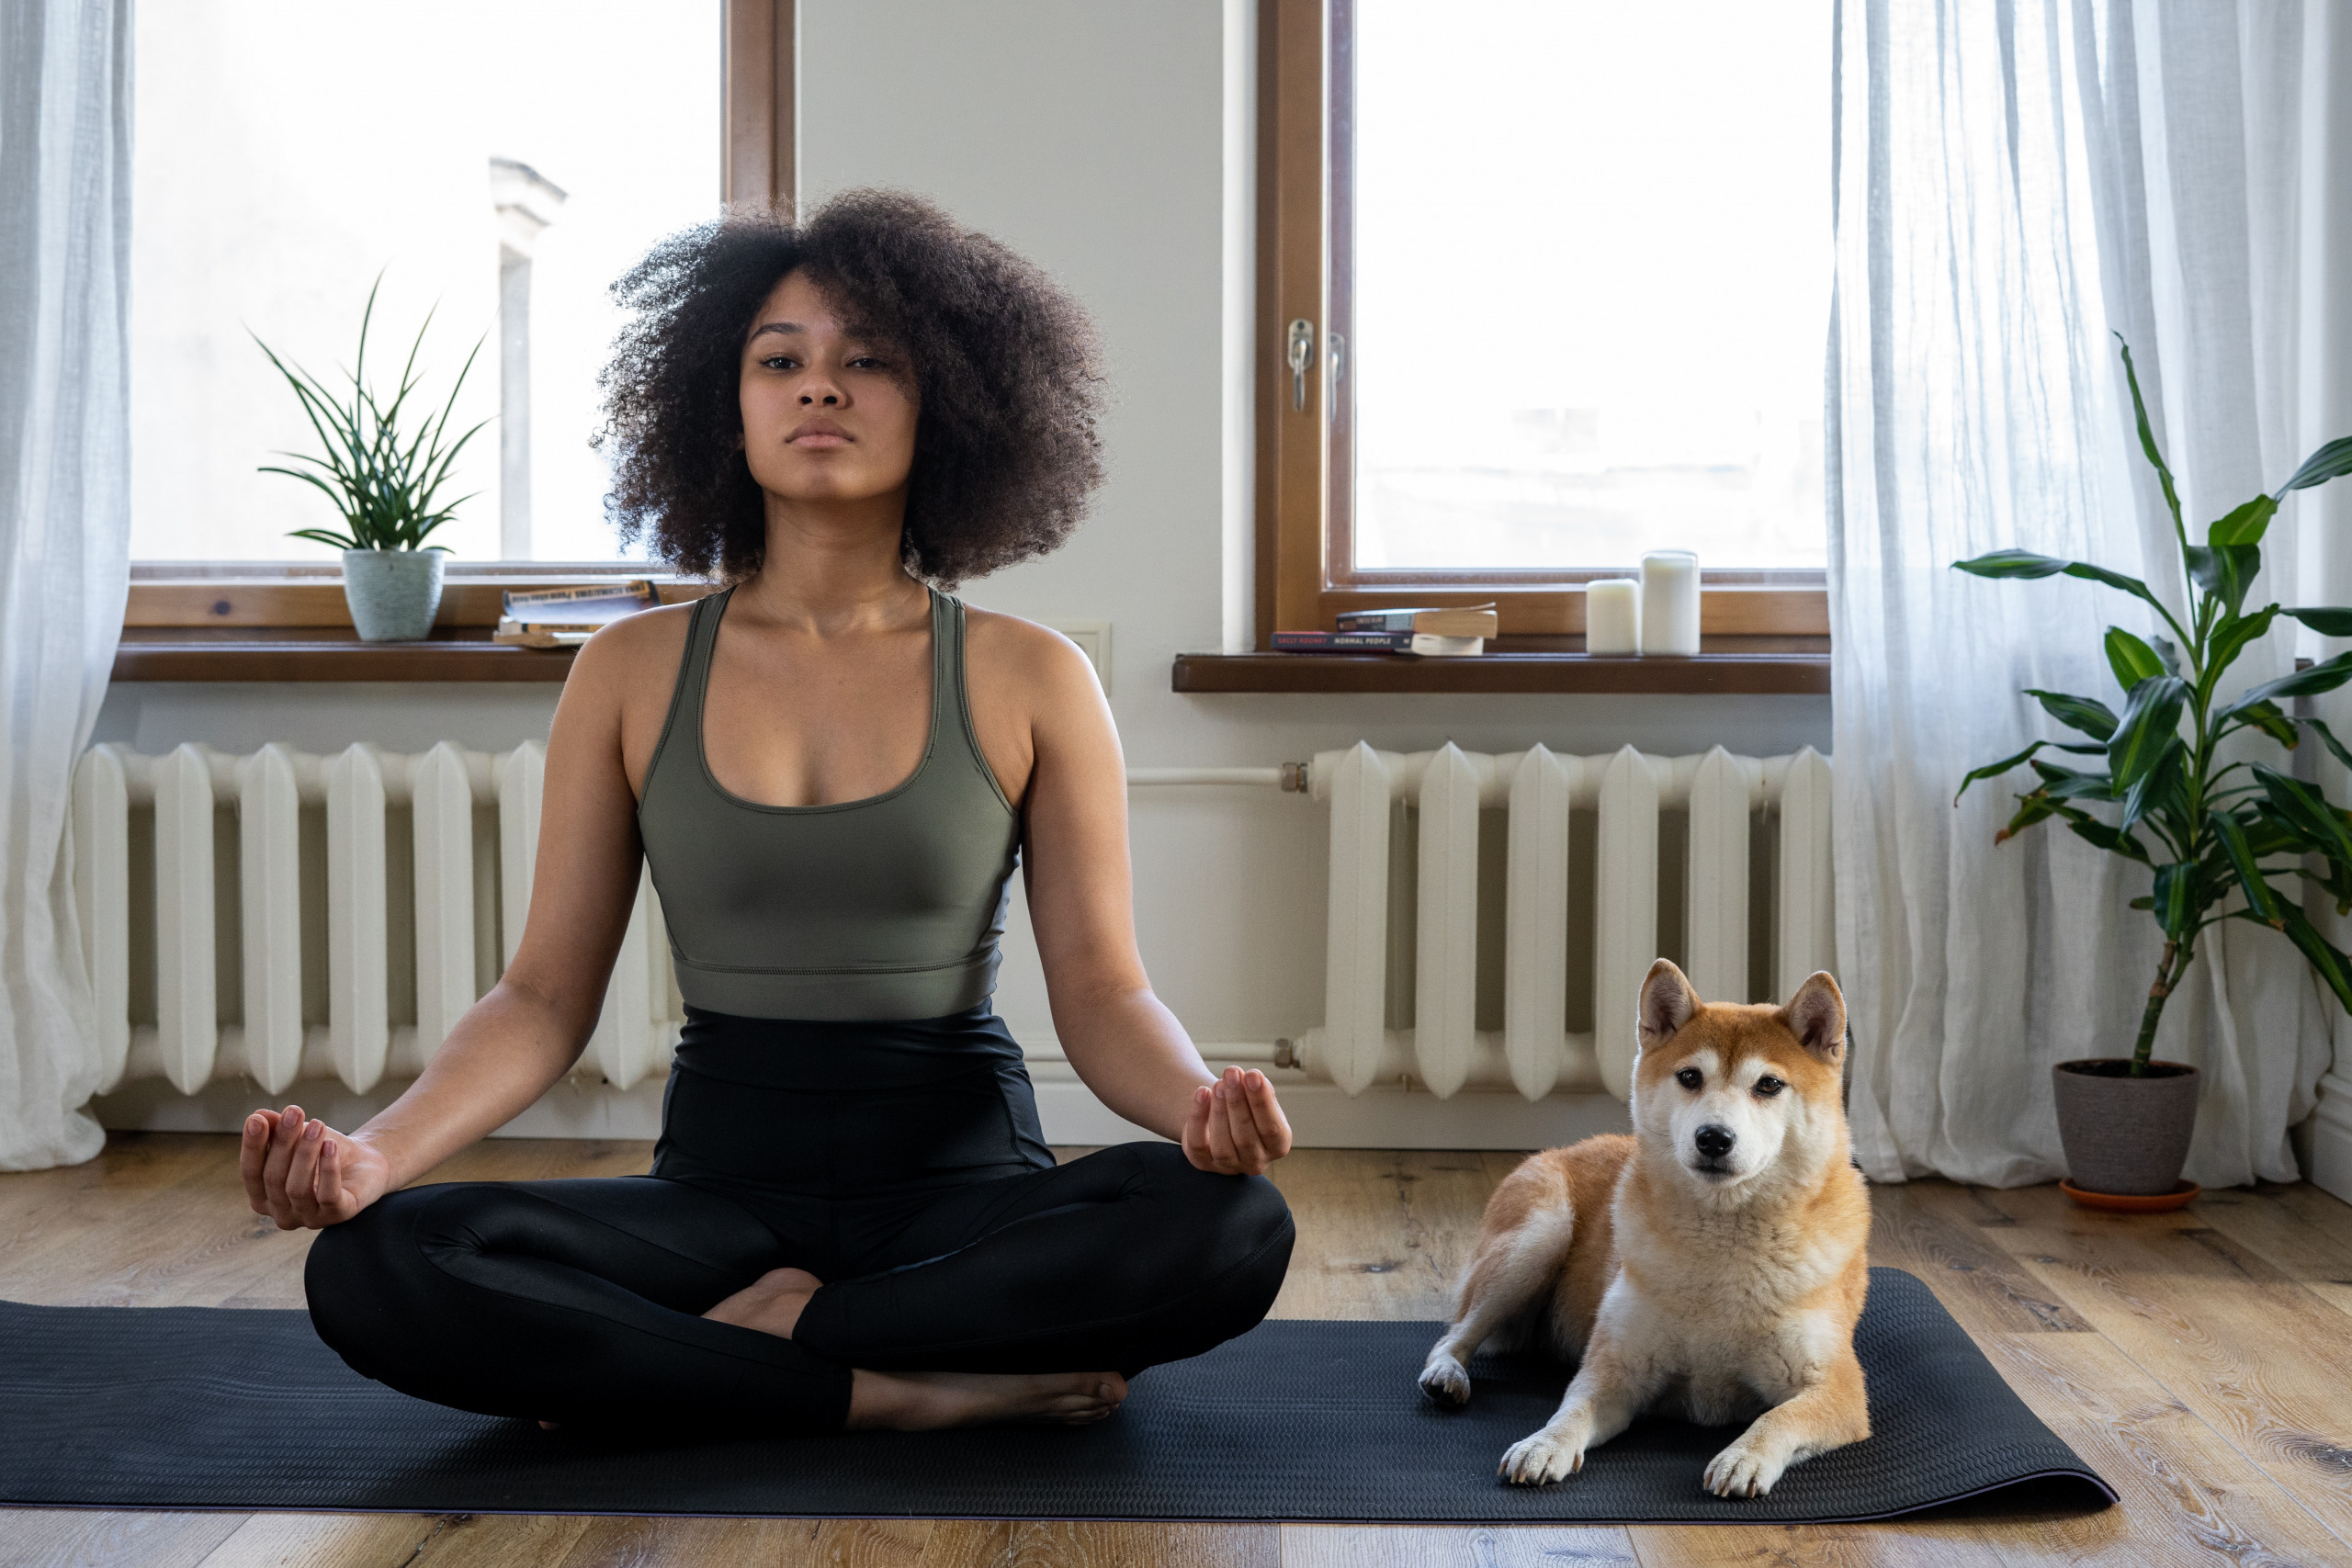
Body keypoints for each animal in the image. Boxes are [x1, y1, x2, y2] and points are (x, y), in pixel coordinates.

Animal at [1411, 959, 1871, 1495]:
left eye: (1770, 1085)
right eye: (1690, 1076)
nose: (1714, 1138)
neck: (1723, 1246)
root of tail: (1562, 1149)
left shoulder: (1839, 1390)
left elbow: (1779, 1418)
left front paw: (1745, 1456)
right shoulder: (1615, 1368)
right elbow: (1570, 1412)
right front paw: (1543, 1445)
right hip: (1538, 1239)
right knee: (1453, 1335)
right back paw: (1447, 1374)